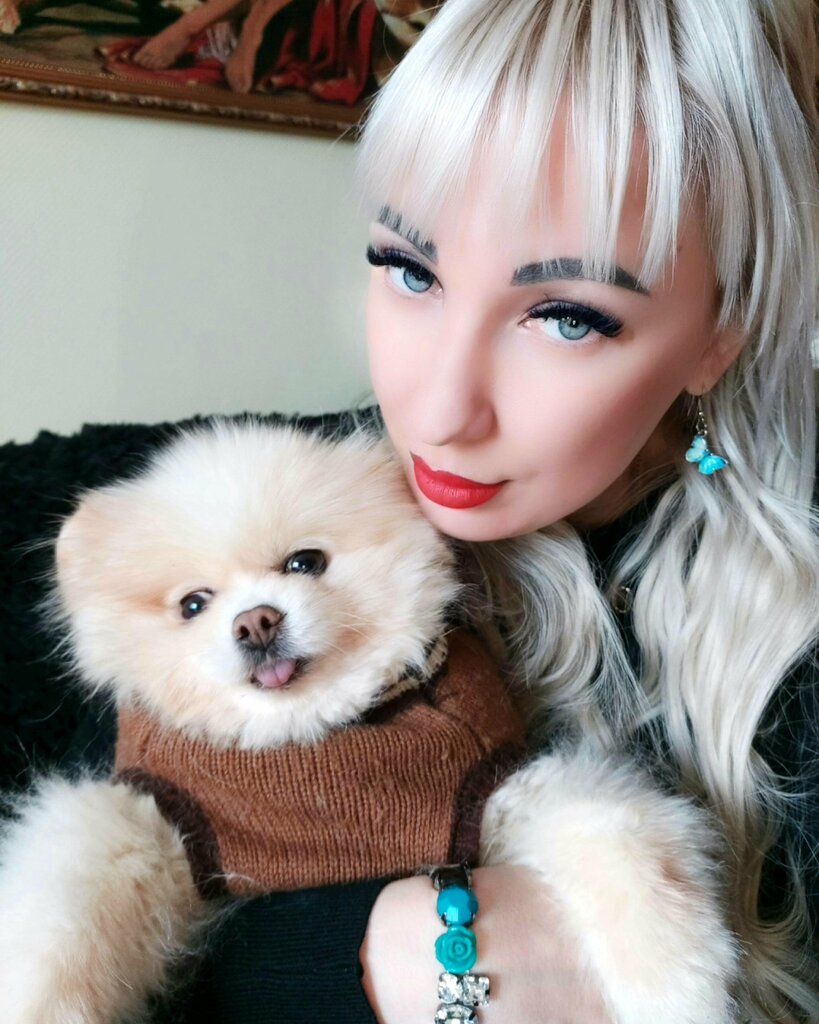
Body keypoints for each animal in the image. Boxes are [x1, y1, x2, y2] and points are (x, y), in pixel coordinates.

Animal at [0, 419, 740, 1024]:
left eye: (305, 562)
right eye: (192, 605)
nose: (256, 621)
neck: (316, 744)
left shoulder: (492, 790)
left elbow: (624, 847)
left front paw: (682, 989)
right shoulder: (162, 822)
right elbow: (57, 913)